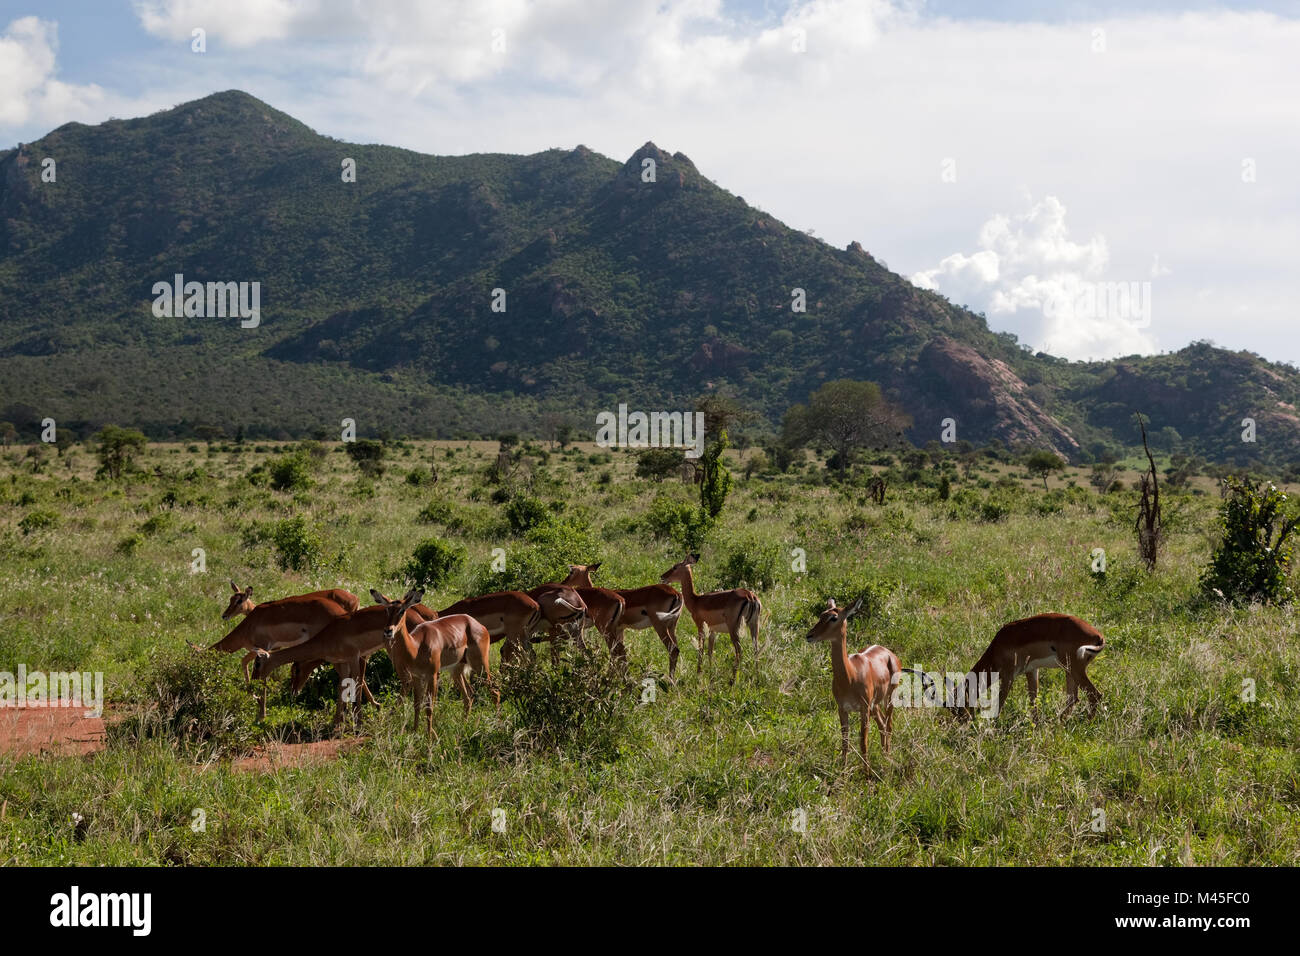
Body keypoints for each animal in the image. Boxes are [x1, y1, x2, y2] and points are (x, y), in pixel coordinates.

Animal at [375, 589, 498, 738]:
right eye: (387, 609)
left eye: (402, 610)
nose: (388, 630)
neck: (416, 647)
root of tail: (477, 624)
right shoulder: (417, 677)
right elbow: (417, 704)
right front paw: (415, 732)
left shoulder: (432, 675)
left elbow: (429, 707)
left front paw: (429, 737)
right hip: (457, 670)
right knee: (468, 696)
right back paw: (464, 726)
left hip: (480, 664)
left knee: (495, 691)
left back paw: (497, 724)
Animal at [660, 555, 761, 683]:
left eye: (675, 567)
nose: (662, 577)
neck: (695, 600)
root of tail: (750, 596)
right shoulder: (713, 631)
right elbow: (710, 652)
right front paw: (710, 675)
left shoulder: (700, 626)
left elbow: (701, 649)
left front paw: (699, 674)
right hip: (754, 625)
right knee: (756, 649)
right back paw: (756, 678)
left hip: (734, 629)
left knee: (739, 650)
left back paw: (733, 680)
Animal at [805, 595, 910, 775]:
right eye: (821, 614)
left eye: (834, 617)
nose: (809, 635)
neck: (849, 676)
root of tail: (890, 653)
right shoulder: (842, 709)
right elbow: (845, 742)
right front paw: (843, 770)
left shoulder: (863, 709)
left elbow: (863, 742)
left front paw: (866, 774)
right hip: (875, 705)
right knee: (882, 724)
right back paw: (884, 755)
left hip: (888, 698)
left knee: (889, 725)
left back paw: (888, 757)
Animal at [949, 613, 1105, 722]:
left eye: (957, 707)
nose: (964, 724)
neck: (996, 648)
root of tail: (1099, 637)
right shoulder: (1031, 670)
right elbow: (1033, 700)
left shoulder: (1008, 676)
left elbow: (1000, 701)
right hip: (1069, 671)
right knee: (1073, 698)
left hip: (1075, 670)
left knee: (1094, 695)